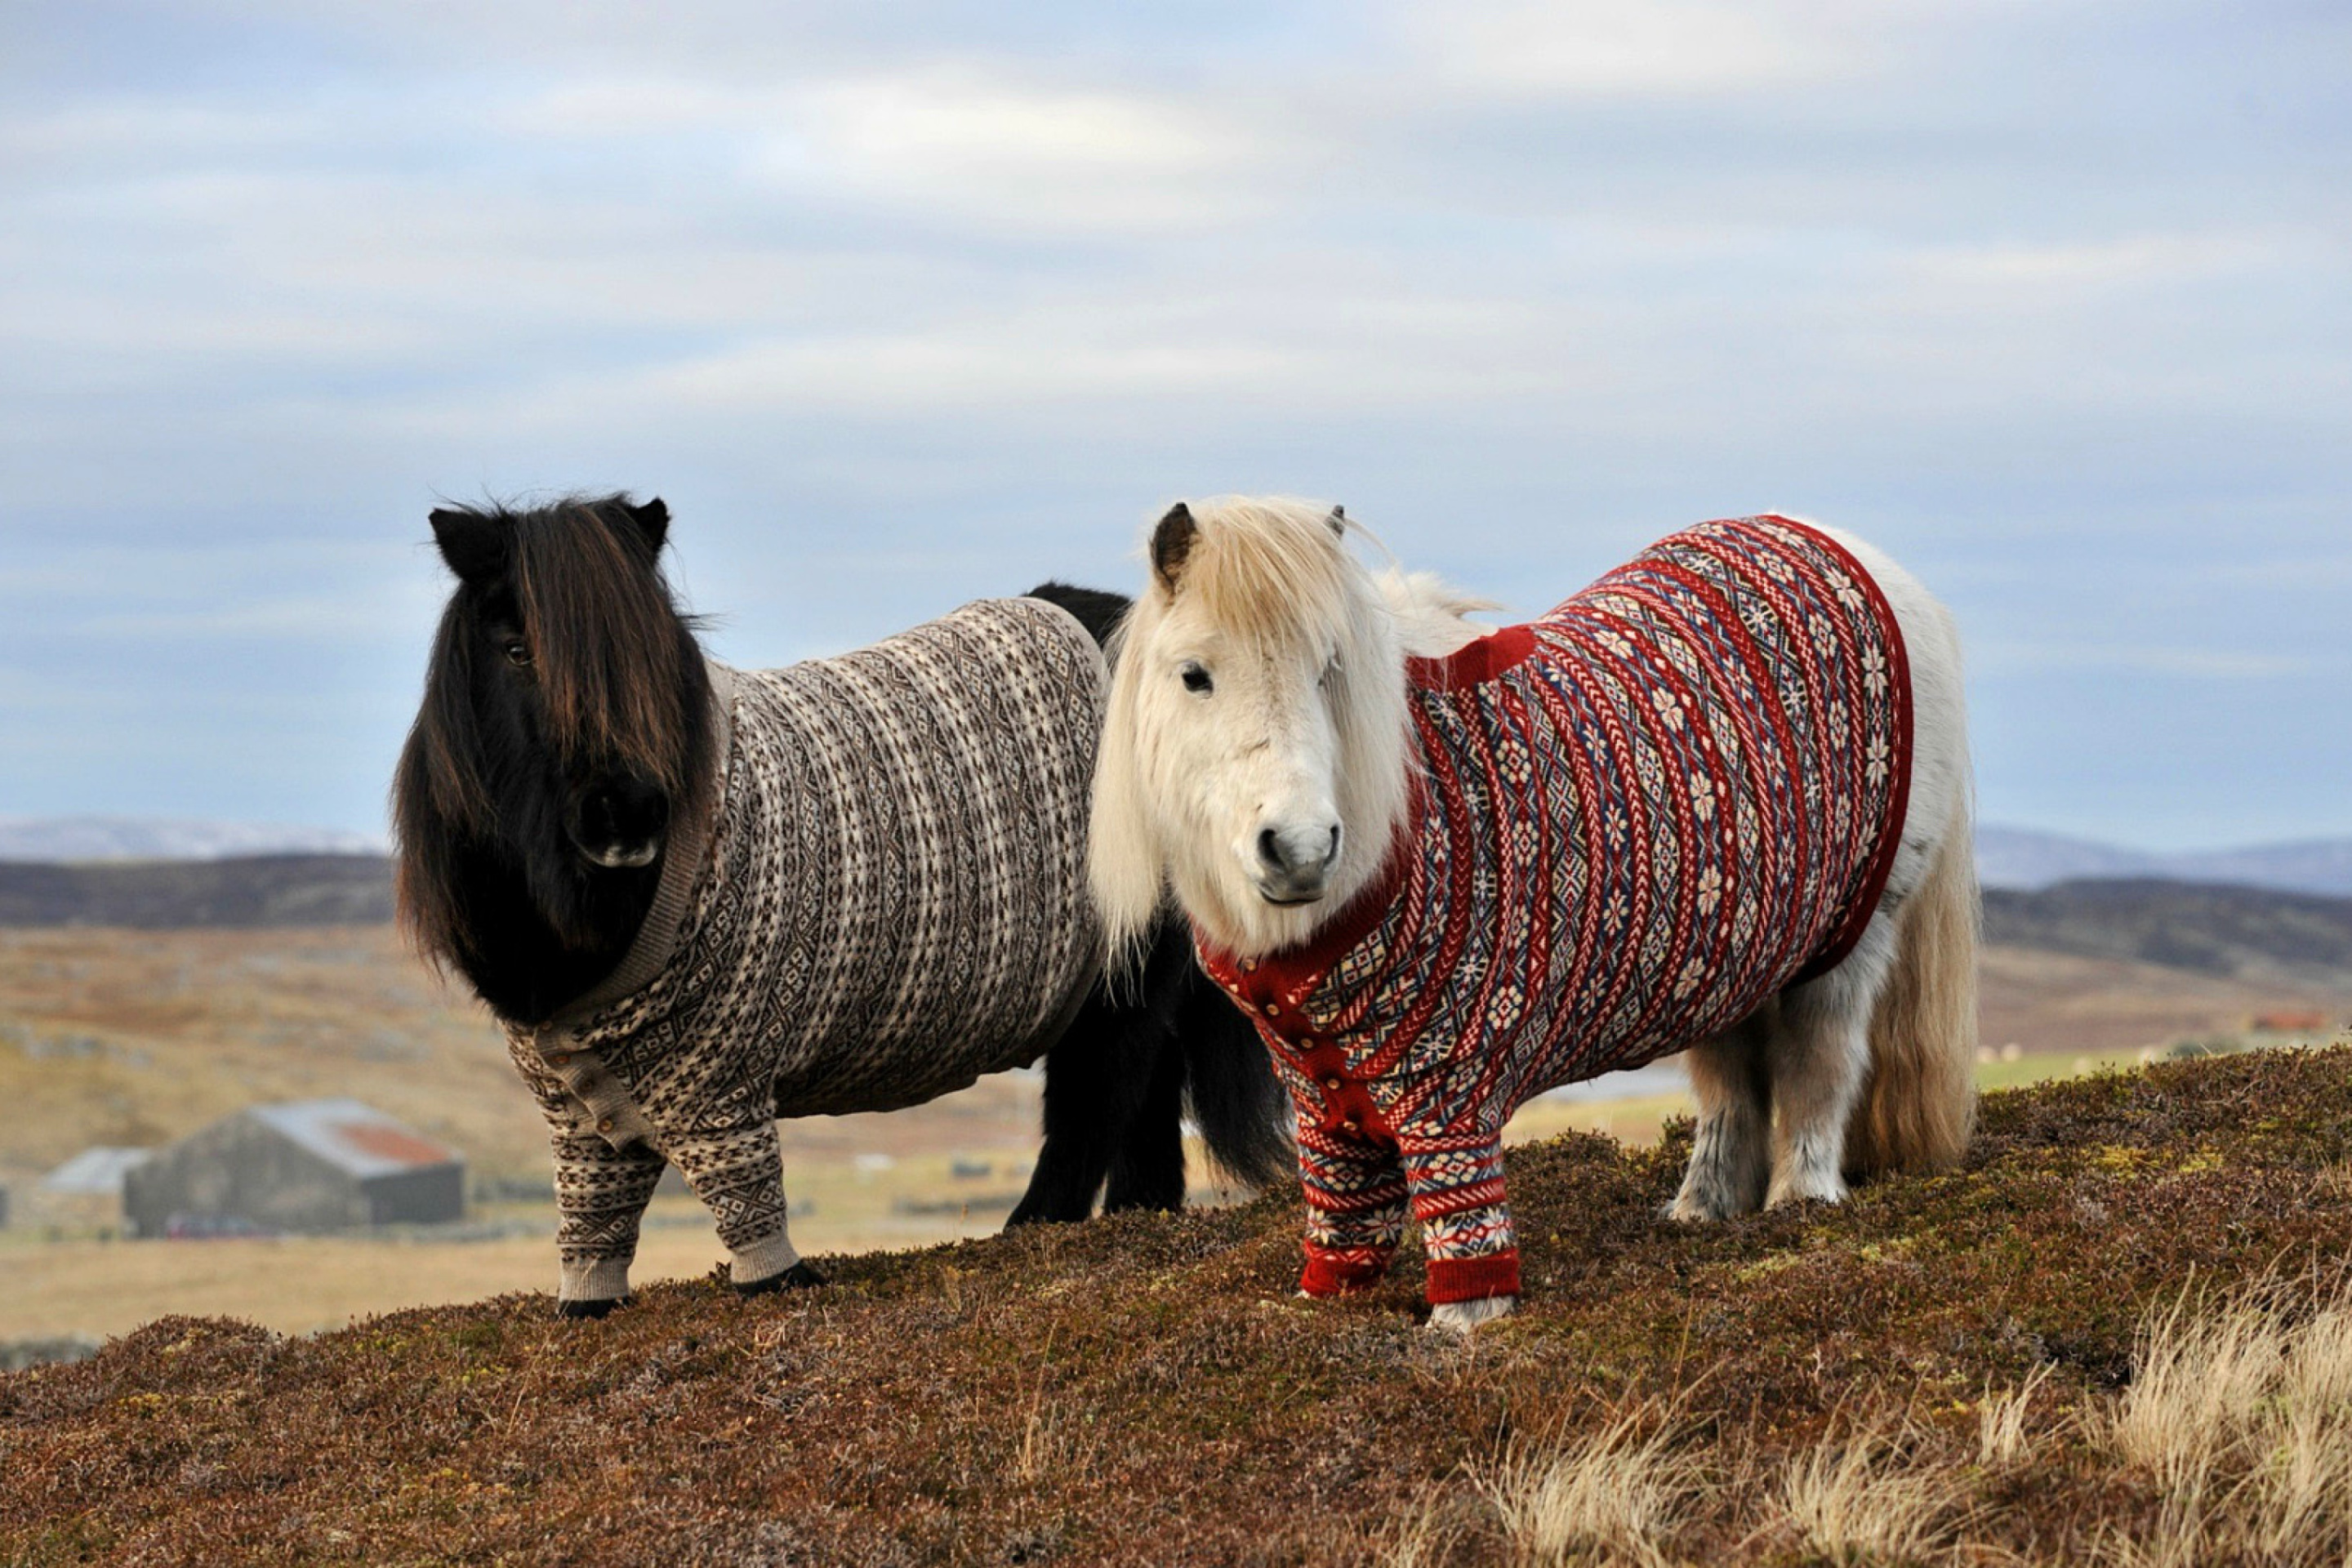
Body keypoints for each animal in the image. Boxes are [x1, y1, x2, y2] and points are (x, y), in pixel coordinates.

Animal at [402, 496, 1289, 1316]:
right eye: (516, 650)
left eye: (654, 653)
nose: (627, 815)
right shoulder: (580, 1115)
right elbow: (594, 1217)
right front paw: (589, 1301)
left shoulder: (723, 1085)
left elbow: (748, 1204)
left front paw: (778, 1283)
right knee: (1144, 1098)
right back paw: (1138, 1218)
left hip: (1119, 976)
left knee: (1097, 1101)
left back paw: (1033, 1230)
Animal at [1091, 496, 1976, 1335]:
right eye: (1194, 675)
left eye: (1329, 669)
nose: (1301, 849)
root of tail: (1856, 556)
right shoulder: (1323, 1099)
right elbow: (1346, 1223)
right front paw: (1322, 1309)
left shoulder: (1449, 1089)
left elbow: (1463, 1225)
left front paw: (1462, 1326)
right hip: (1731, 959)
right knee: (1732, 1087)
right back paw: (1702, 1212)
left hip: (1850, 943)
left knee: (1819, 1066)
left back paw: (1802, 1205)